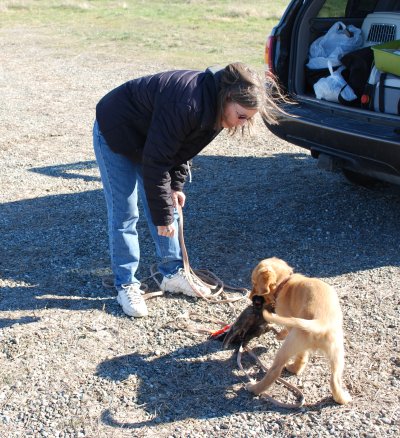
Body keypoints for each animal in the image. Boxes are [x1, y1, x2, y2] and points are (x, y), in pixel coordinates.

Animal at [245, 256, 352, 404]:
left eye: (254, 283)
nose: (250, 297)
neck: (286, 282)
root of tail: (320, 323)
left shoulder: (287, 318)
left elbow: (285, 328)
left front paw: (280, 335)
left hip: (289, 344)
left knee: (275, 370)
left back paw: (254, 388)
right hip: (337, 353)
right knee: (334, 379)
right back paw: (342, 398)